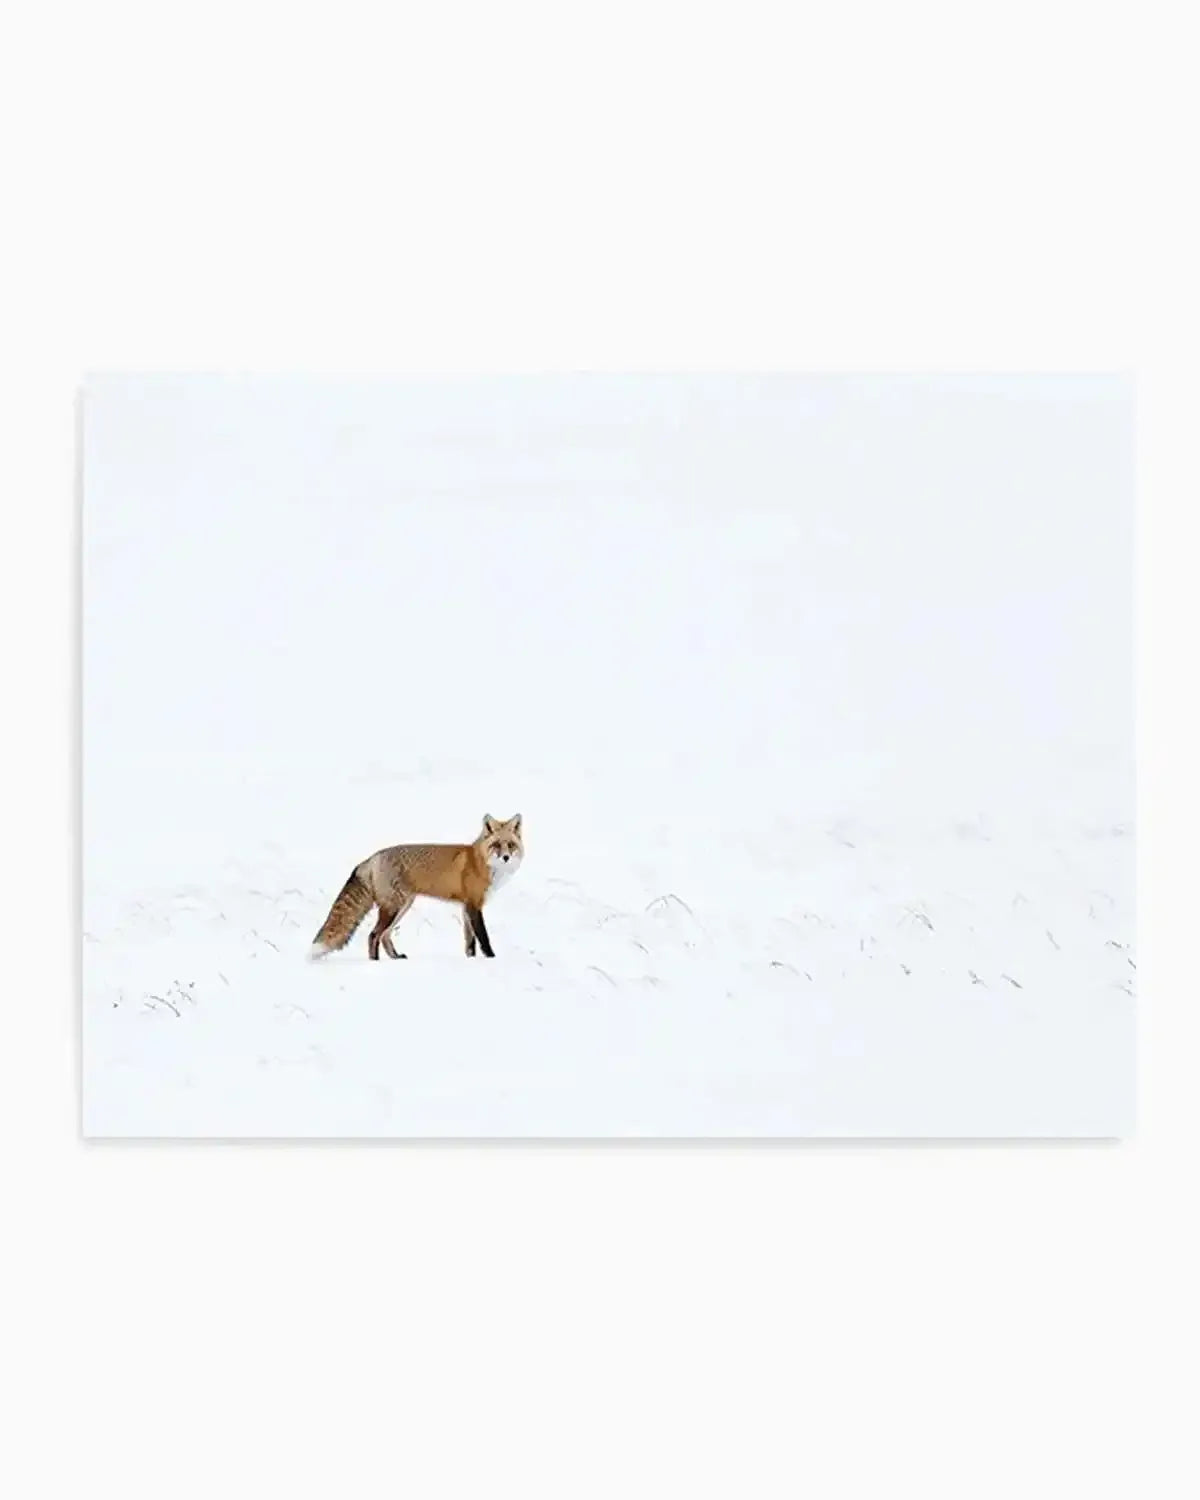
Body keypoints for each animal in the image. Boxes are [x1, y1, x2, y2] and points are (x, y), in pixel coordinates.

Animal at [309, 814, 523, 961]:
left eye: (511, 845)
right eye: (496, 845)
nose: (506, 857)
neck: (482, 863)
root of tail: (372, 858)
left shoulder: (466, 907)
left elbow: (469, 942)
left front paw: (471, 960)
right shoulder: (473, 905)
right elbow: (483, 938)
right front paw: (491, 958)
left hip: (402, 907)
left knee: (384, 936)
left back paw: (395, 958)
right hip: (393, 908)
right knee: (373, 935)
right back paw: (375, 962)